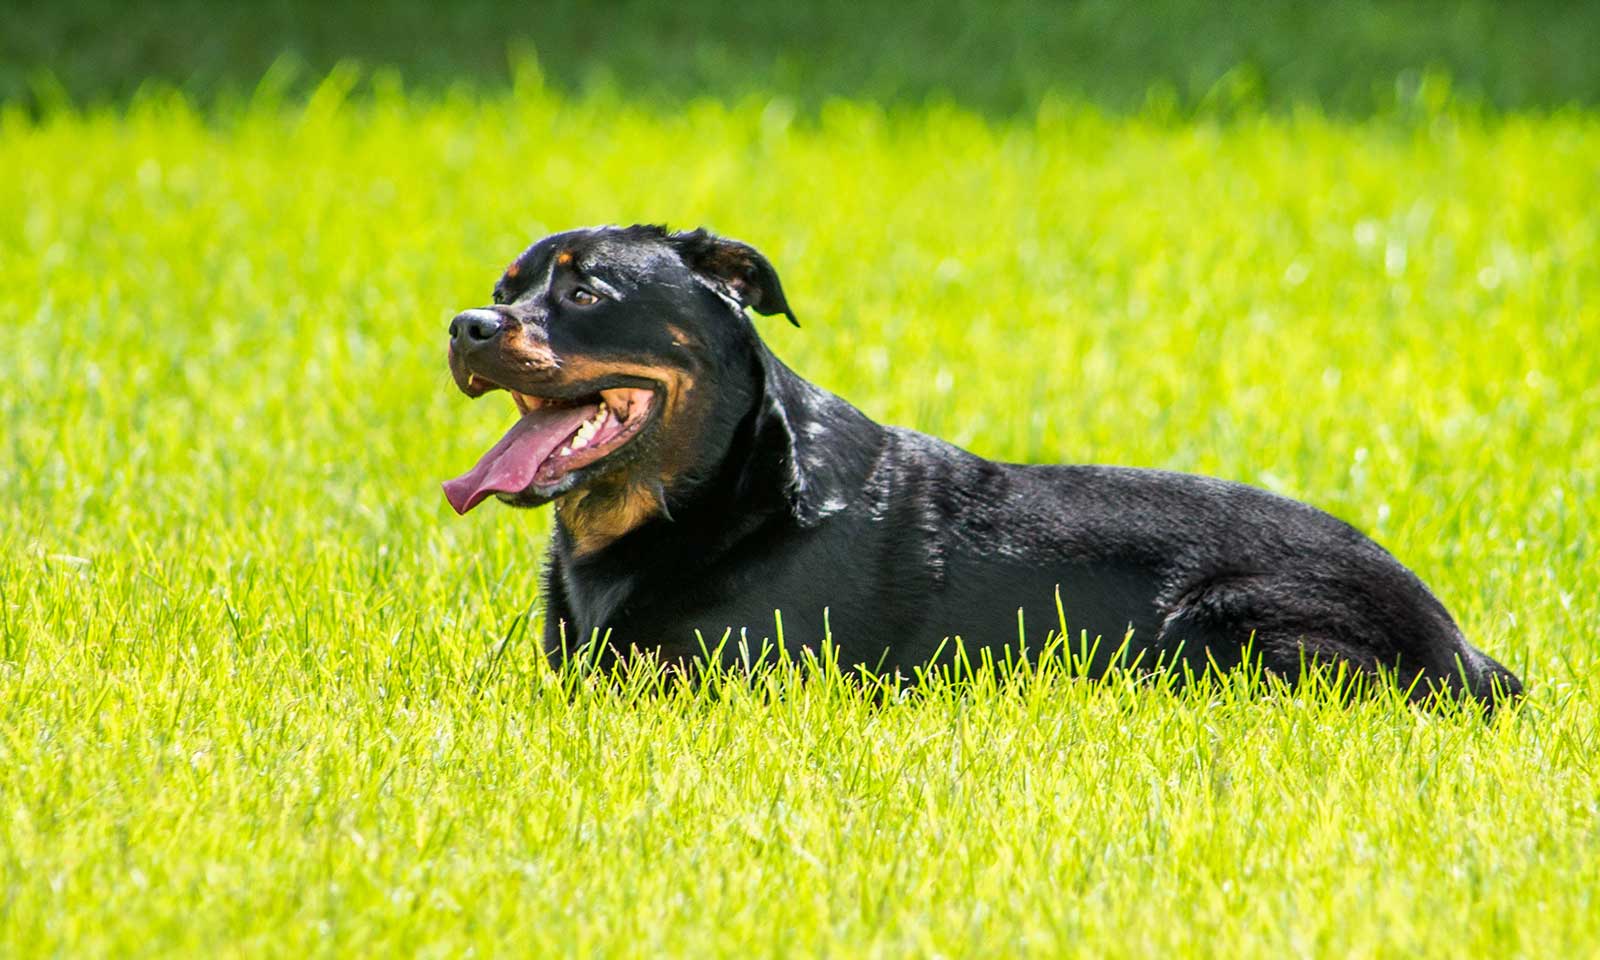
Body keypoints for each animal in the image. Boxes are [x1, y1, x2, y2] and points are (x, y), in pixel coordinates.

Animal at [441, 225, 1523, 704]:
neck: (721, 493)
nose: (467, 325)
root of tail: (1462, 646)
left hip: (1220, 624)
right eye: (505, 285)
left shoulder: (716, 683)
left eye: (587, 293)